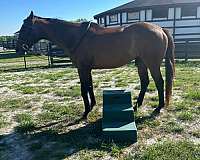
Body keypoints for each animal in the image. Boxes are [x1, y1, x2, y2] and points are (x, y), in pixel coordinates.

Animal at [16, 11, 174, 119]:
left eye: (25, 28)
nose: (19, 49)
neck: (75, 36)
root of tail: (160, 29)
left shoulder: (82, 68)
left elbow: (83, 88)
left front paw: (85, 112)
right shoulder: (87, 69)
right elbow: (90, 86)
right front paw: (92, 106)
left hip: (152, 63)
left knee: (159, 82)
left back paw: (158, 108)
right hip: (141, 62)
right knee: (145, 82)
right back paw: (136, 105)